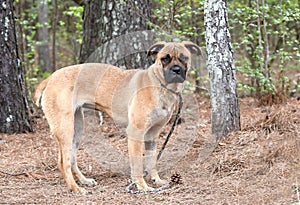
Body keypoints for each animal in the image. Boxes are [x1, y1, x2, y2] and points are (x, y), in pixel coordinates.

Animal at [34, 41, 200, 192]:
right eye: (165, 58)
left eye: (184, 58)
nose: (176, 70)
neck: (160, 85)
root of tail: (50, 78)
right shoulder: (136, 133)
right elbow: (138, 165)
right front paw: (142, 186)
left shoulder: (152, 135)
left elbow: (152, 161)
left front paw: (156, 180)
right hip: (66, 130)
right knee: (64, 162)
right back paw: (75, 188)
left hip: (77, 129)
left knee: (72, 160)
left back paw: (84, 181)